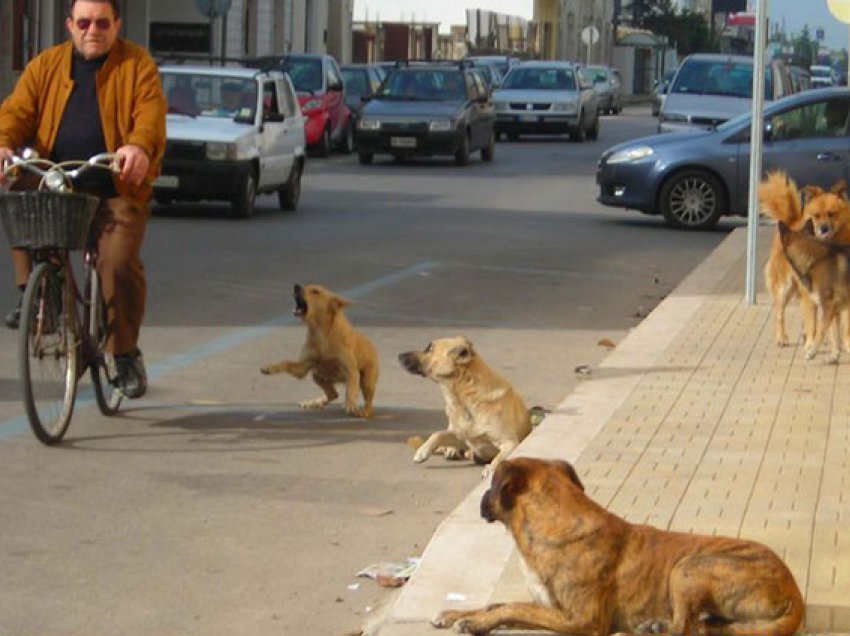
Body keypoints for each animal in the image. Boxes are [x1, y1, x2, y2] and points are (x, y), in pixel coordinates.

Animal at [258, 284, 378, 418]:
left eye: (315, 291)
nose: (296, 286)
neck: (320, 332)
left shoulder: (351, 370)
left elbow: (350, 390)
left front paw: (350, 404)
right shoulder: (302, 368)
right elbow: (286, 362)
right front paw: (270, 368)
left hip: (367, 381)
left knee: (368, 403)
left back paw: (363, 412)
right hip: (316, 374)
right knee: (333, 393)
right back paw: (314, 402)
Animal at [396, 338, 528, 476]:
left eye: (429, 348)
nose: (399, 355)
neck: (466, 402)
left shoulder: (510, 442)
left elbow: (499, 458)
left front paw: (491, 468)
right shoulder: (463, 438)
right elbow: (438, 434)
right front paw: (422, 451)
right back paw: (451, 450)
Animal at [434, 458, 804, 636]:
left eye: (492, 483)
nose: (481, 499)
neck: (555, 522)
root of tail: (794, 592)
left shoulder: (581, 619)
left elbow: (511, 608)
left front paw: (474, 624)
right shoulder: (549, 606)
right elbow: (498, 604)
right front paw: (458, 614)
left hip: (690, 566)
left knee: (684, 629)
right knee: (703, 627)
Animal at [756, 169, 848, 348]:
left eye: (831, 214)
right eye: (816, 216)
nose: (823, 228)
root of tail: (791, 222)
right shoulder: (810, 294)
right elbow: (812, 321)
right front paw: (811, 344)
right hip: (784, 287)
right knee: (780, 312)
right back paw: (782, 337)